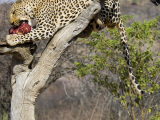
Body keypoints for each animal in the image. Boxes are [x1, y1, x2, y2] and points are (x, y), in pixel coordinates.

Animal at [5, 0, 144, 95]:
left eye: (13, 12)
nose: (11, 23)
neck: (35, 6)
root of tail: (119, 11)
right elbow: (30, 33)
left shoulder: (46, 28)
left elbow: (30, 33)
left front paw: (11, 38)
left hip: (108, 10)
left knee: (107, 21)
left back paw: (97, 16)